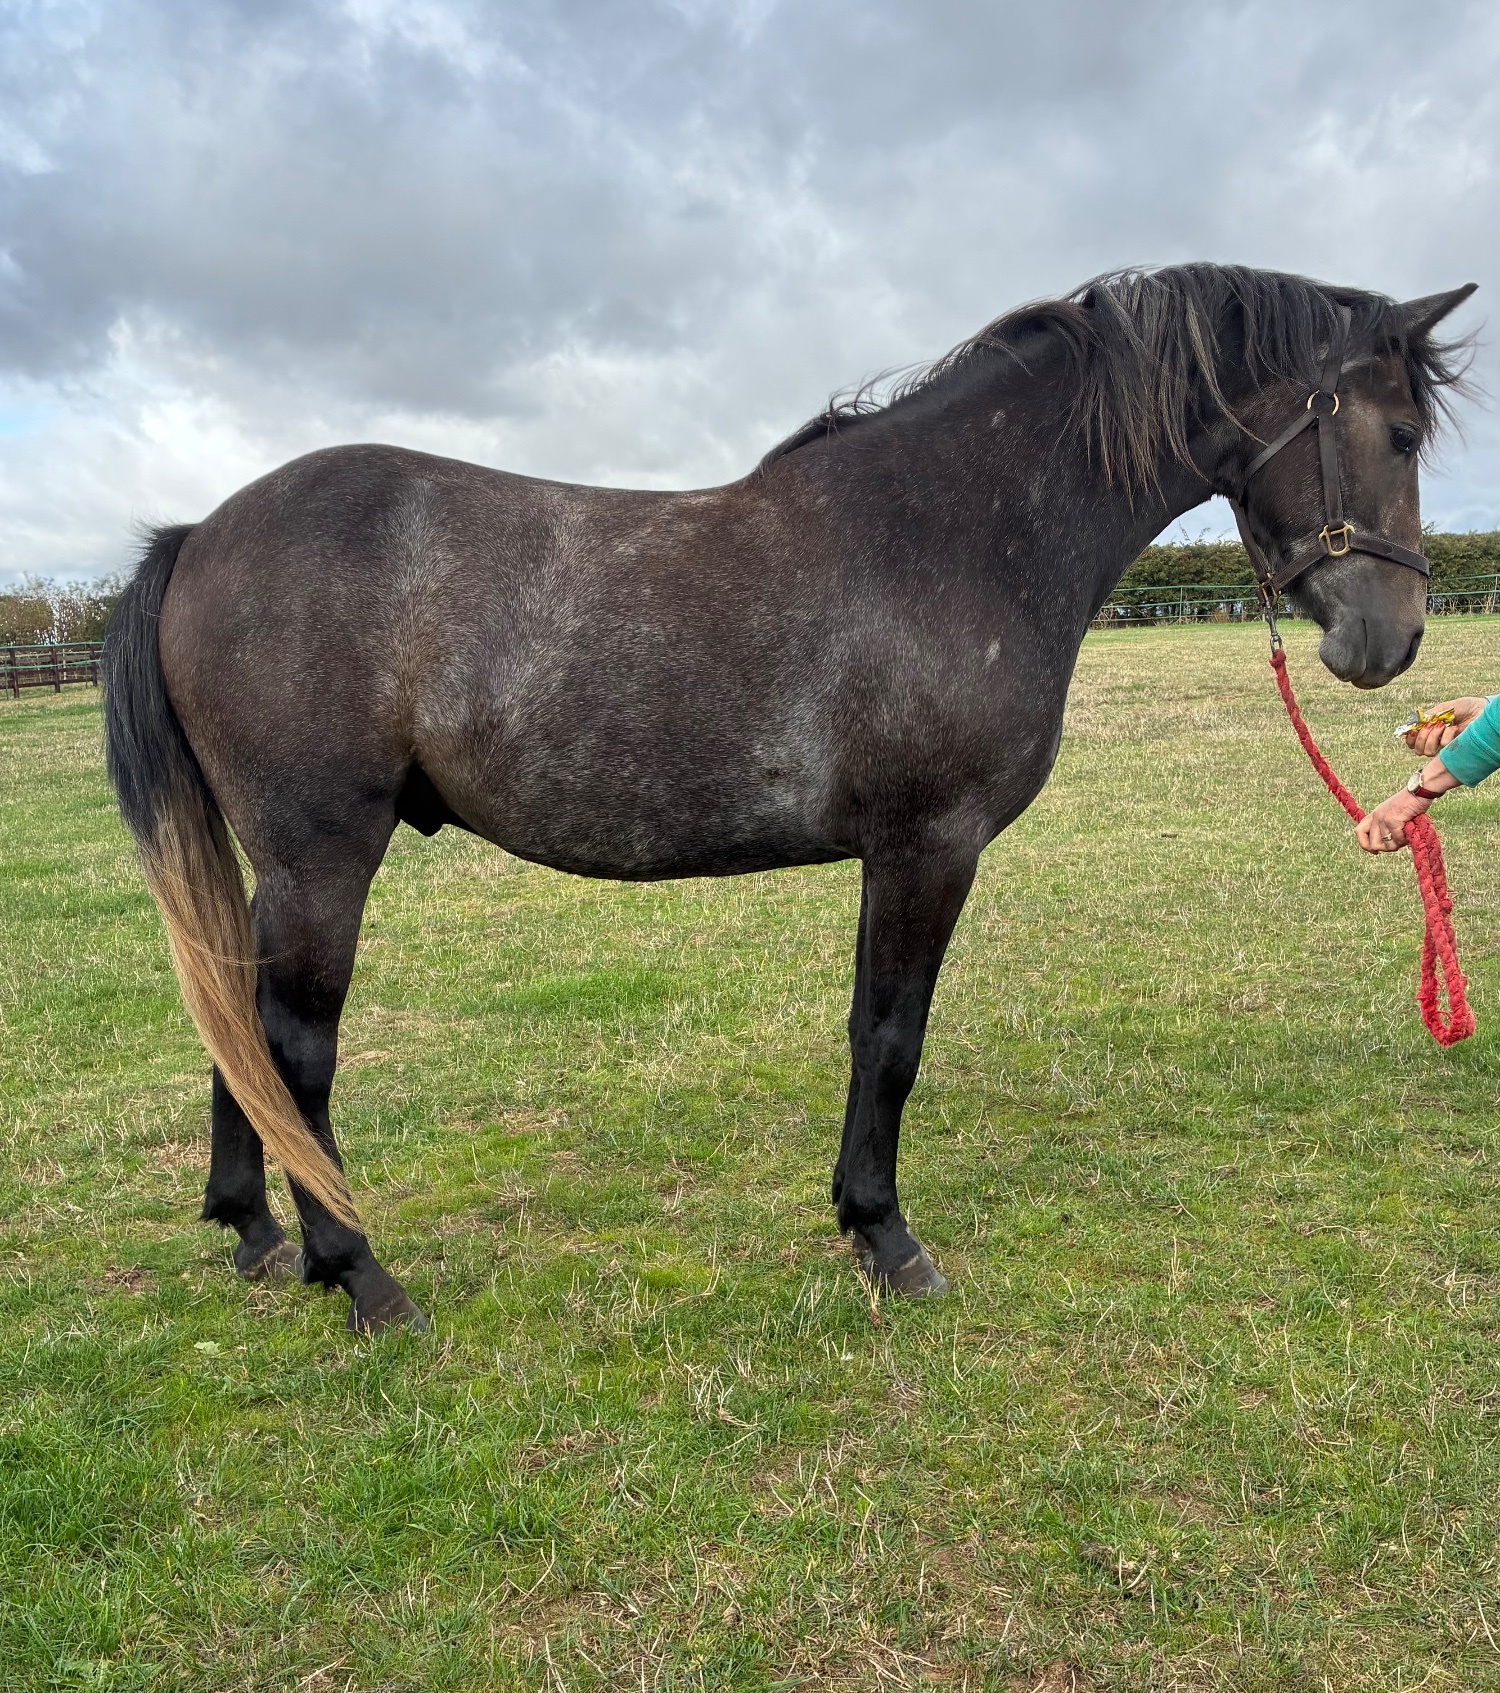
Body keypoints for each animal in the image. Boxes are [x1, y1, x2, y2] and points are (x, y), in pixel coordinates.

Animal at [102, 264, 1476, 1333]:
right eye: (1400, 435)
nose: (1393, 639)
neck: (957, 529)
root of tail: (200, 533)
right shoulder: (928, 847)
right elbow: (890, 1039)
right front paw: (886, 1238)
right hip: (322, 855)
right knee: (295, 1050)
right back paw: (359, 1274)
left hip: (278, 866)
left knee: (241, 1029)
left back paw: (256, 1233)